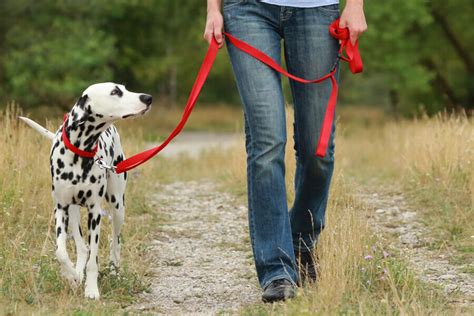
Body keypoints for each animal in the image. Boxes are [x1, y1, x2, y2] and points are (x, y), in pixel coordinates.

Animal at [18, 82, 151, 298]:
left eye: (123, 88)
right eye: (115, 92)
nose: (148, 98)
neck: (80, 151)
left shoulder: (94, 212)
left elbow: (94, 260)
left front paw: (91, 289)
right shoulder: (61, 208)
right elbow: (61, 252)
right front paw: (71, 275)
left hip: (118, 207)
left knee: (115, 242)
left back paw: (113, 271)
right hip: (72, 213)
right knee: (82, 247)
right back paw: (76, 273)